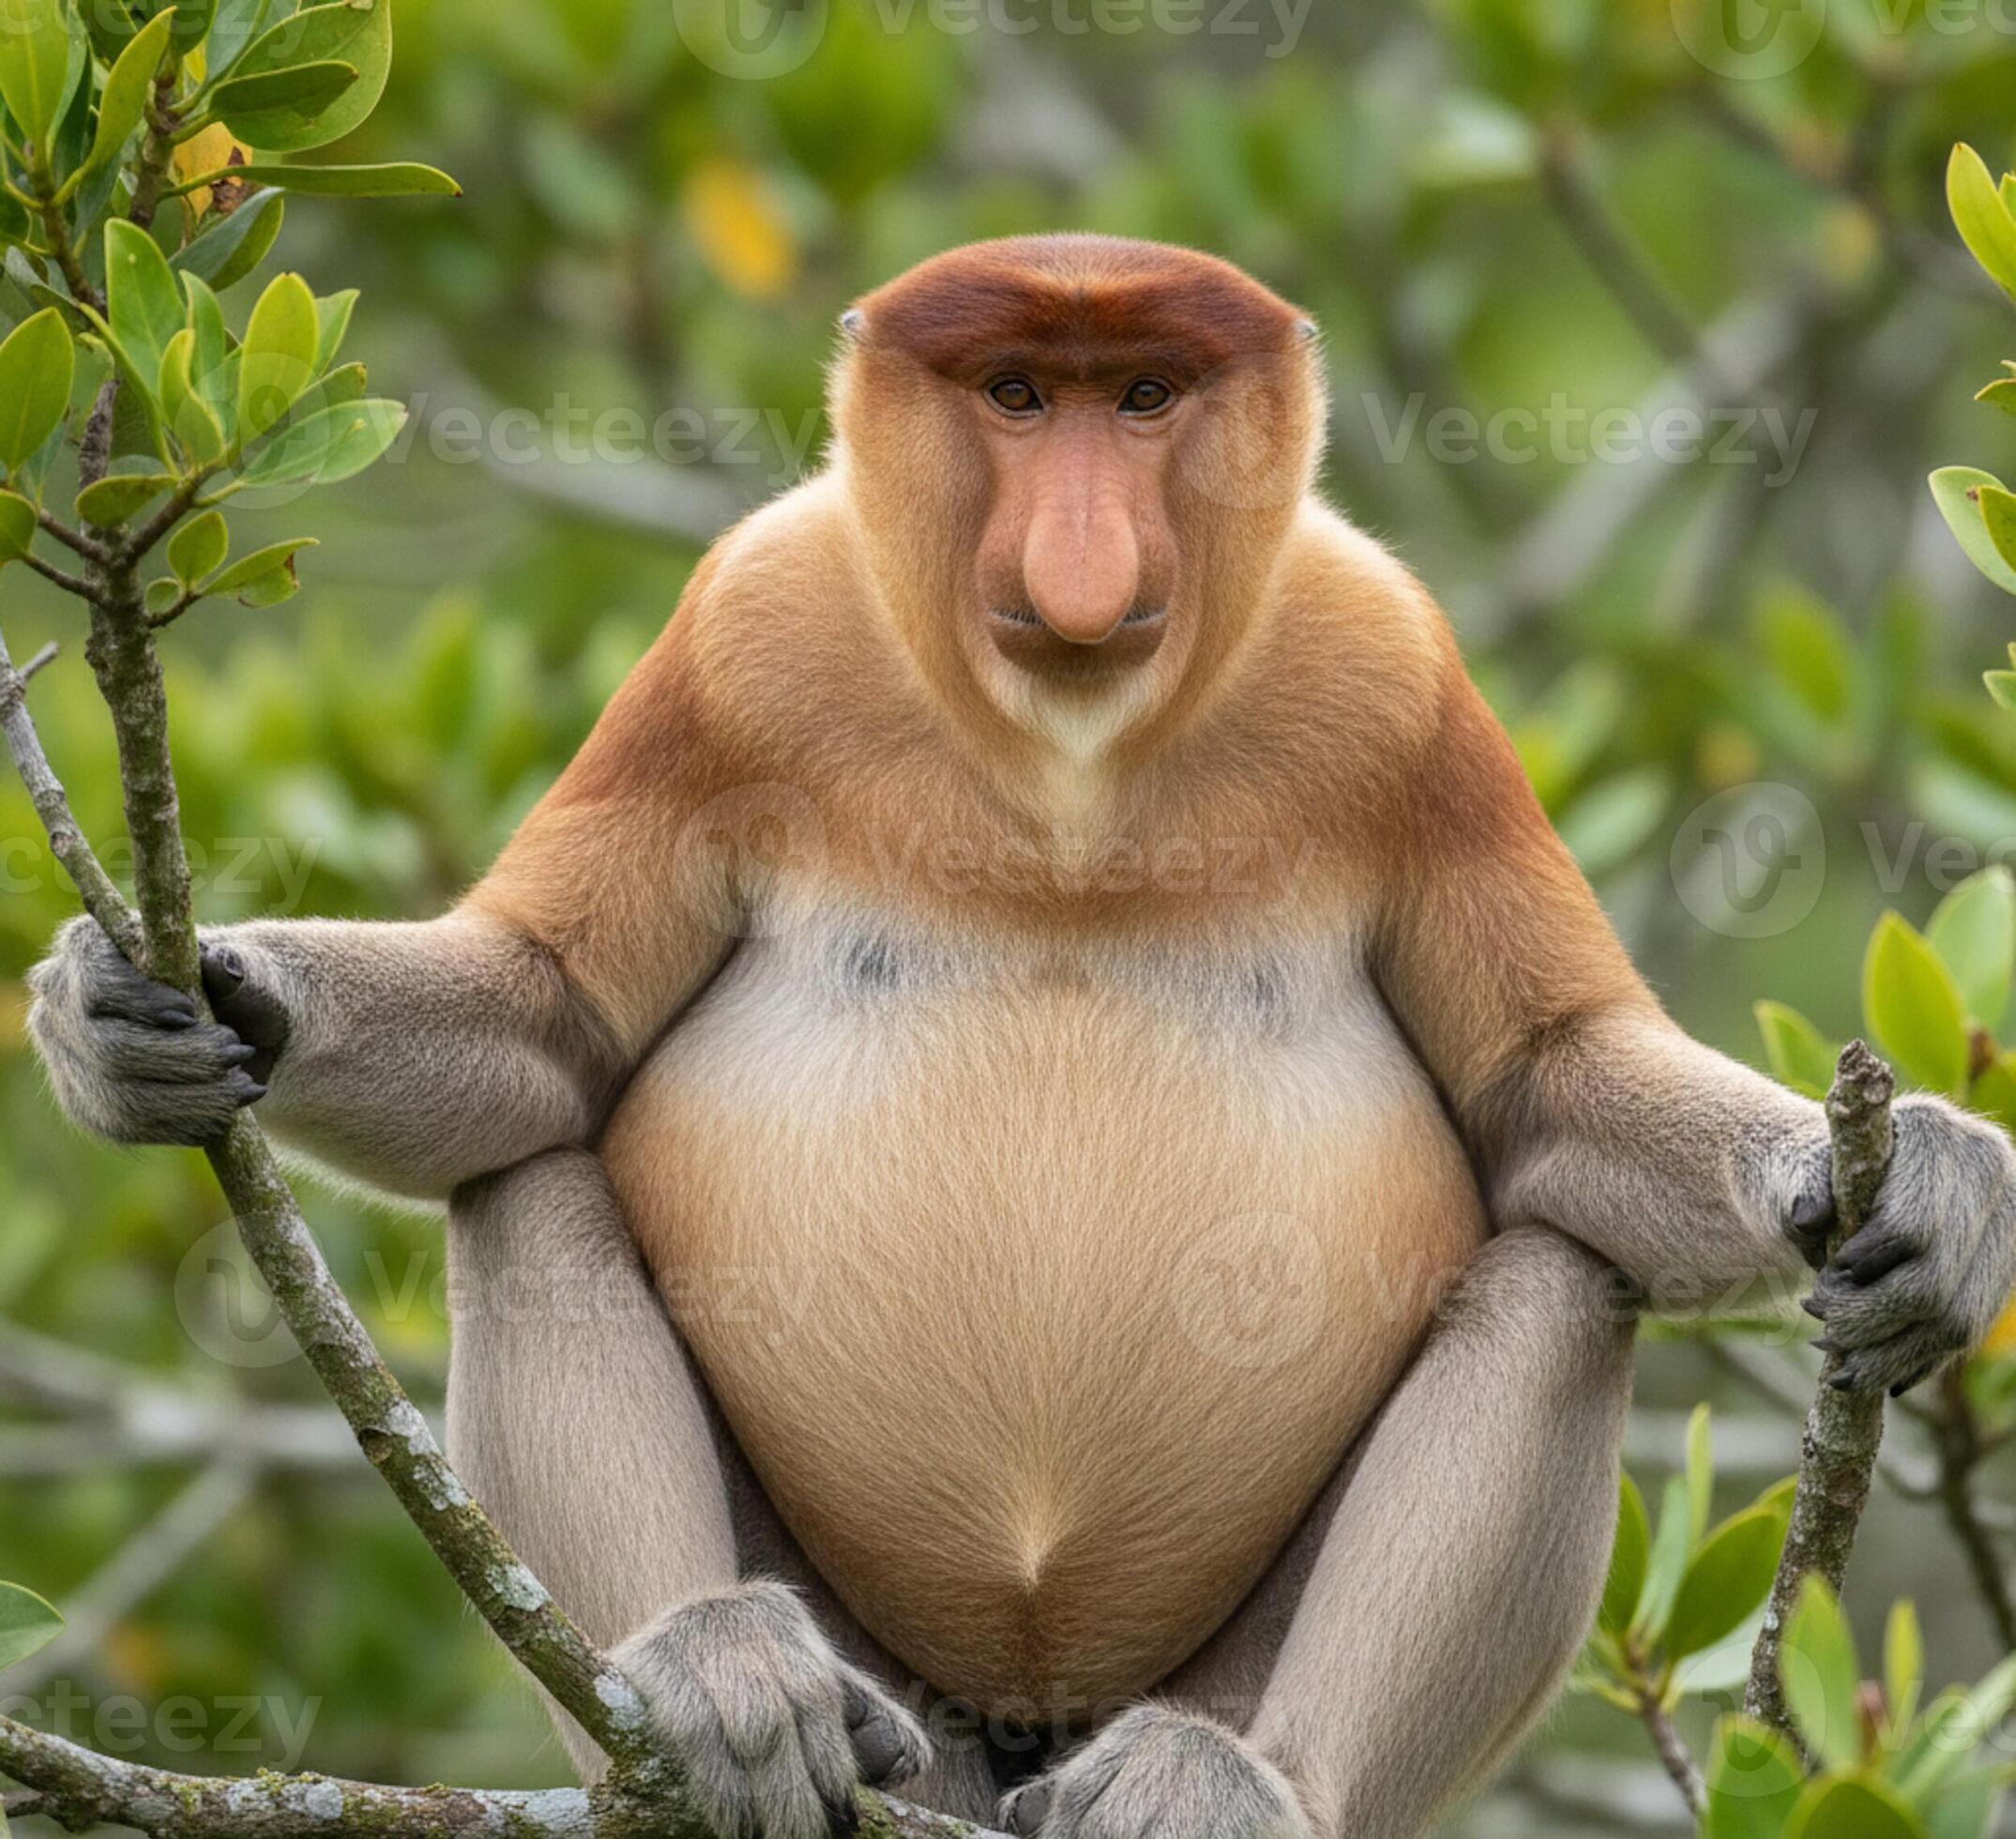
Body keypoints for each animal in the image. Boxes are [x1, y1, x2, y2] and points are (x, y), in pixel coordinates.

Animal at [27, 234, 2016, 1839]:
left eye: (1138, 399)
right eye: (1011, 396)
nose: (1077, 563)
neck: (1067, 767)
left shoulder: (1395, 672)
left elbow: (1543, 1091)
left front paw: (1916, 1183)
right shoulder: (741, 632)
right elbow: (548, 1021)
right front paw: (150, 1011)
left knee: (1556, 1277)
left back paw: (1231, 1783)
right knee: (528, 1180)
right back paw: (726, 1688)